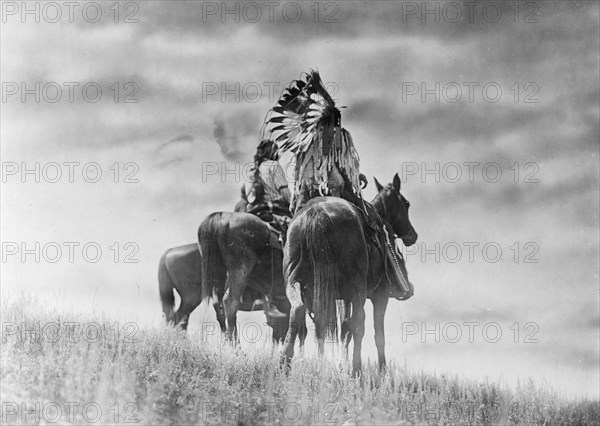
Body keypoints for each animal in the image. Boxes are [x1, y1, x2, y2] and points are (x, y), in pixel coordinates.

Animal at [282, 172, 418, 372]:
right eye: (406, 203)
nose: (412, 235)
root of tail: (316, 212)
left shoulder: (343, 297)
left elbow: (344, 328)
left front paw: (341, 364)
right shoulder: (380, 295)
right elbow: (377, 333)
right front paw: (382, 371)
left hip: (296, 283)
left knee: (298, 311)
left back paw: (284, 362)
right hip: (357, 288)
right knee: (359, 324)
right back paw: (356, 370)